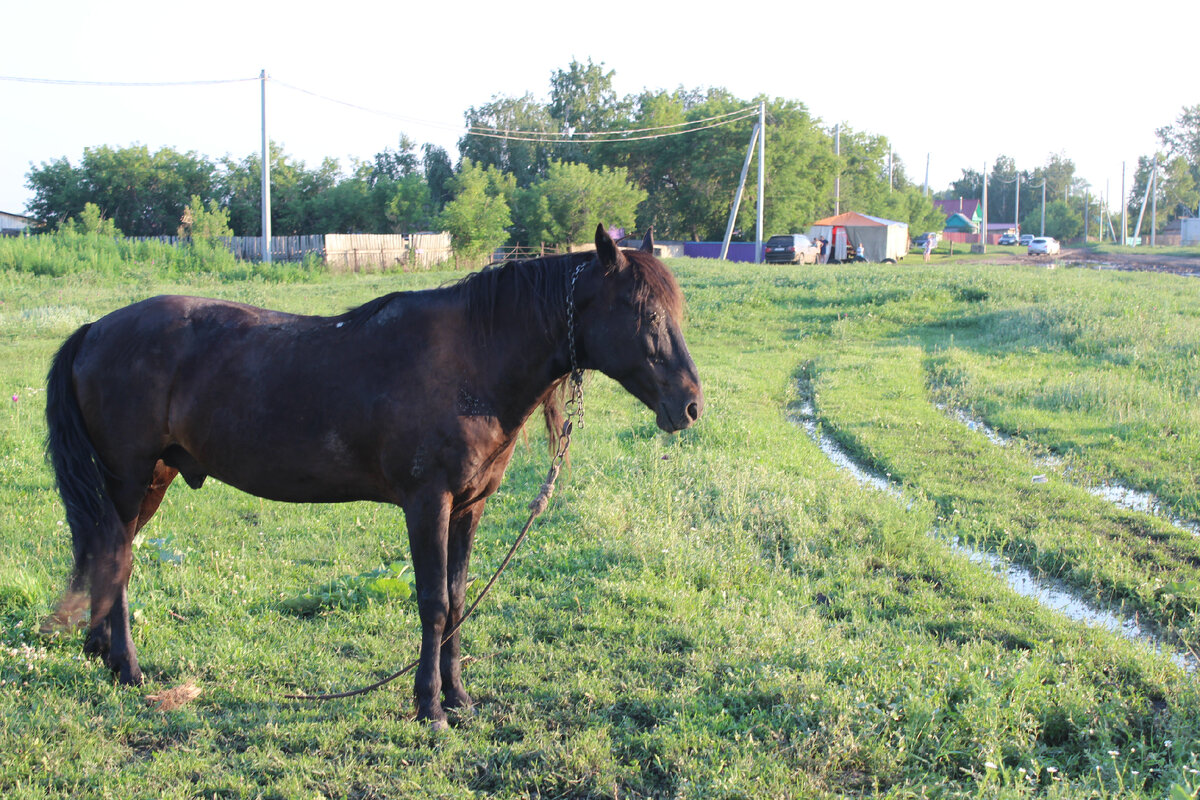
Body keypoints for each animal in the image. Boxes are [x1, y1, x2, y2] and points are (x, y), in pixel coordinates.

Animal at [44, 224, 700, 724]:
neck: (475, 358)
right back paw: (129, 669)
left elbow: (458, 598)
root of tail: (95, 330)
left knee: (114, 555)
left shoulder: (470, 506)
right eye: (644, 313)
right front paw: (429, 707)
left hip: (152, 479)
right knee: (118, 560)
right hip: (130, 479)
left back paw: (103, 654)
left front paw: (459, 698)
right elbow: (433, 602)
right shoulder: (427, 503)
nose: (690, 405)